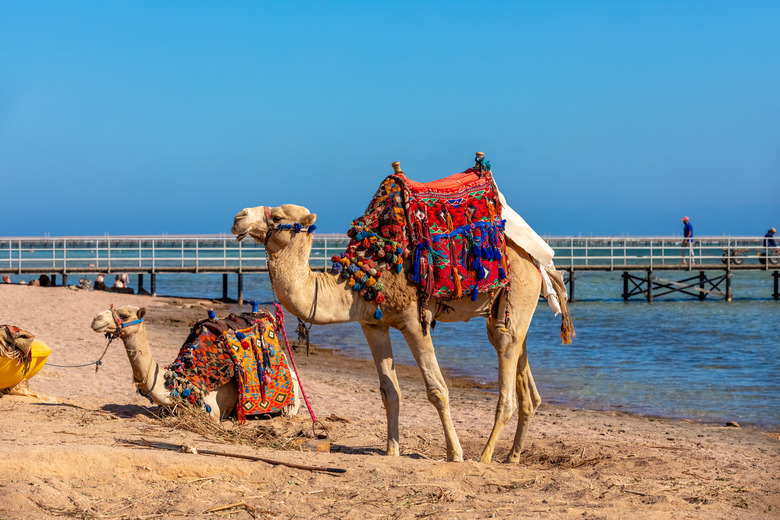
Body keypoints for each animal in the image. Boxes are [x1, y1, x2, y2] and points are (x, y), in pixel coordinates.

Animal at [232, 203, 572, 464]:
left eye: (278, 217)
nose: (239, 217)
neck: (358, 281)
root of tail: (539, 262)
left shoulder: (413, 320)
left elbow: (437, 390)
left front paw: (455, 454)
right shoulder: (373, 325)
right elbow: (389, 392)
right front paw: (391, 450)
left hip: (518, 293)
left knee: (506, 373)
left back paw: (485, 455)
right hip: (507, 309)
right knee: (524, 374)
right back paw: (512, 456)